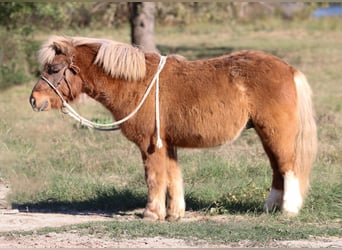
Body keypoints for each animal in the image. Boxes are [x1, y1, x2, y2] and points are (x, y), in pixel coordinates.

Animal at [30, 35, 318, 221]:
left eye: (53, 68)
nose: (34, 99)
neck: (138, 83)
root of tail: (289, 69)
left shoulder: (150, 145)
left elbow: (155, 177)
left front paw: (151, 213)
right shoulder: (167, 144)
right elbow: (173, 176)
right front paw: (175, 213)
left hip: (275, 132)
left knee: (287, 167)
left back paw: (289, 210)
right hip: (265, 134)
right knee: (278, 169)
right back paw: (270, 207)